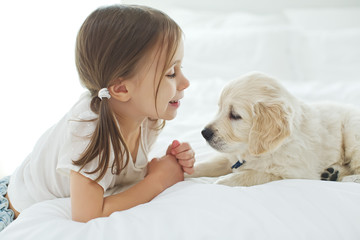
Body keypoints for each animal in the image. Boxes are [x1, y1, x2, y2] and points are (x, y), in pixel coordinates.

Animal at [193, 72, 360, 187]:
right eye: (219, 108)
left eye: (235, 115)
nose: (204, 133)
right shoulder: (230, 157)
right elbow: (210, 164)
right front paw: (189, 168)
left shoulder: (294, 173)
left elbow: (255, 175)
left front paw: (222, 182)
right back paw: (332, 173)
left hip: (352, 134)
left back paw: (347, 178)